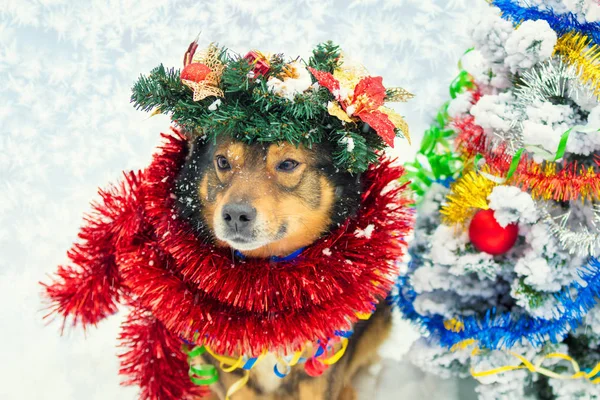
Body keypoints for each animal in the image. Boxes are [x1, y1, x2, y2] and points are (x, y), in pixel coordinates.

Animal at [173, 135, 394, 400]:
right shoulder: (232, 371)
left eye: (288, 164)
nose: (235, 215)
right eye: (223, 161)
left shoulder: (320, 365)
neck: (271, 286)